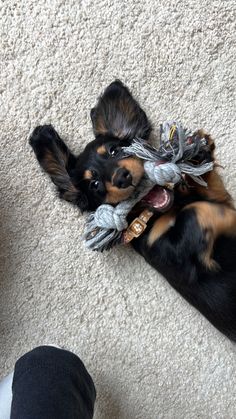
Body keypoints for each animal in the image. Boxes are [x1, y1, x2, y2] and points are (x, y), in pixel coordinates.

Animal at [29, 79, 236, 342]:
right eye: (94, 184)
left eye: (115, 150)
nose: (122, 177)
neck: (160, 212)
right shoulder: (174, 255)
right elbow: (196, 213)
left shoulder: (218, 197)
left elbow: (208, 189)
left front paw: (198, 151)